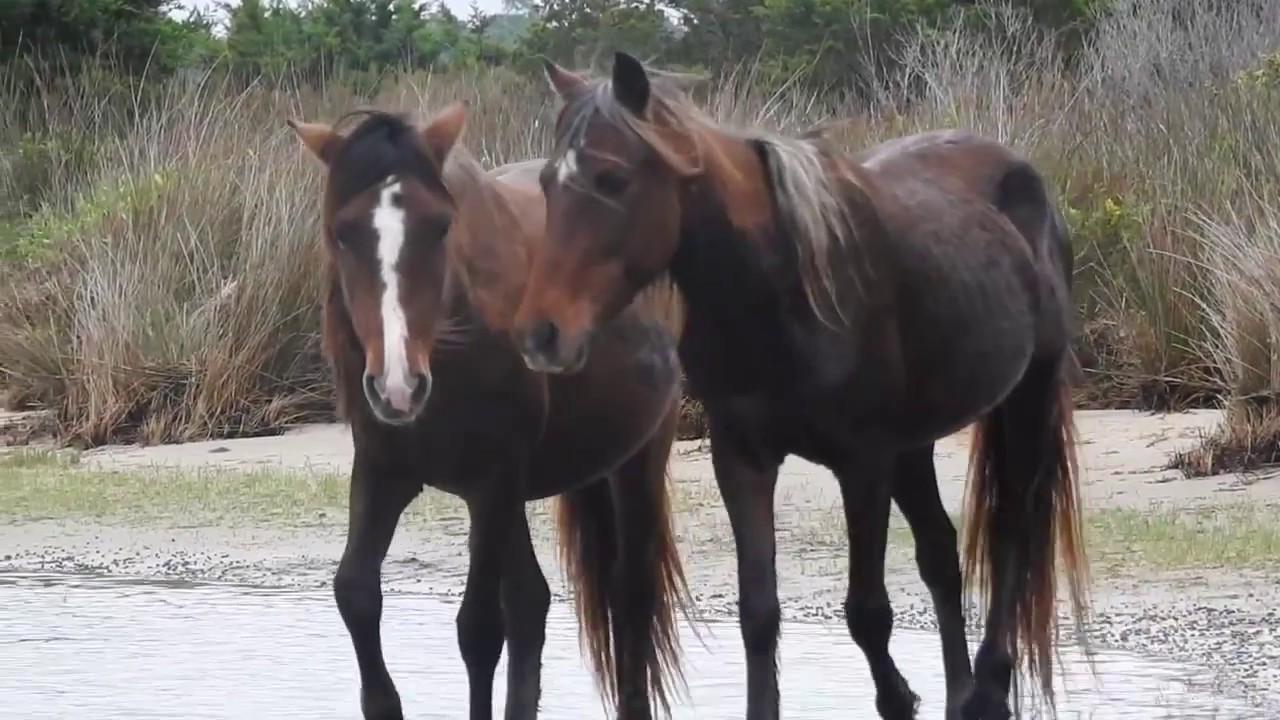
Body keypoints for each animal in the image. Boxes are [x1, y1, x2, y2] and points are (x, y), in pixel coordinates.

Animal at [286, 102, 695, 720]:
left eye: (440, 226)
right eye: (340, 233)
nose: (398, 386)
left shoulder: (491, 482)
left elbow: (478, 630)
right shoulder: (384, 471)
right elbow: (355, 593)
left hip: (635, 458)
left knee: (630, 603)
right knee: (532, 603)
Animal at [510, 52, 1091, 720]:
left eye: (612, 179)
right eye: (549, 184)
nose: (542, 334)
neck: (777, 291)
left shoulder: (862, 463)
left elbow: (868, 613)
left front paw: (899, 697)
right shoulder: (743, 459)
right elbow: (759, 615)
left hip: (1027, 398)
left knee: (1012, 531)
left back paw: (990, 687)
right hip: (914, 444)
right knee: (942, 556)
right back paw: (961, 690)